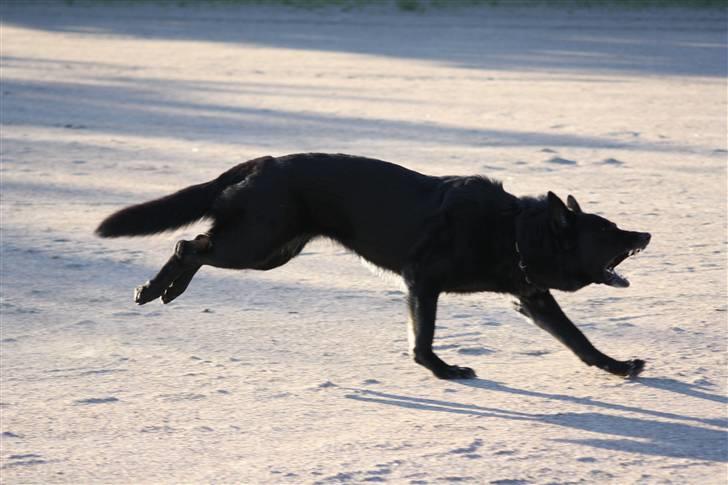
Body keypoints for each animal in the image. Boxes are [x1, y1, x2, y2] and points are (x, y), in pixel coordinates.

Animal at [95, 153, 648, 380]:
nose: (645, 235)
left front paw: (618, 366)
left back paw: (167, 292)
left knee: (197, 243)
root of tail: (263, 162)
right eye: (608, 231)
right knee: (188, 244)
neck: (511, 231)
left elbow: (580, 342)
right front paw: (443, 372)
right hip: (258, 246)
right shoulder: (422, 283)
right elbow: (422, 341)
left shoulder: (533, 297)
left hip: (272, 251)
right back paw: (156, 291)